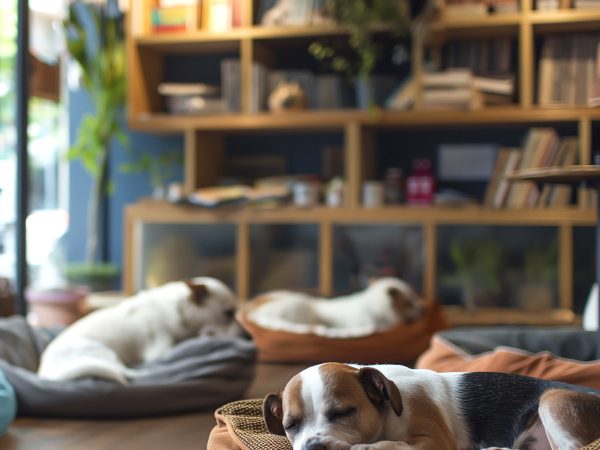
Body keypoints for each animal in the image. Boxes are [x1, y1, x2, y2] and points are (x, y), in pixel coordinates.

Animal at [37, 277, 237, 385]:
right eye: (229, 313)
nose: (242, 333)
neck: (180, 309)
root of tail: (45, 372)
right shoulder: (160, 350)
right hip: (104, 353)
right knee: (127, 373)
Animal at [263, 362, 600, 450]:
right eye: (290, 426)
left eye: (343, 413)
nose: (312, 447)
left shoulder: (436, 441)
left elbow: (395, 445)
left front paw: (370, 447)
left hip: (552, 400)